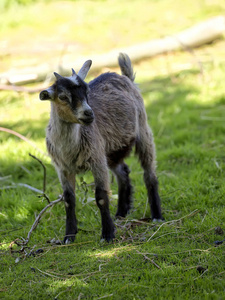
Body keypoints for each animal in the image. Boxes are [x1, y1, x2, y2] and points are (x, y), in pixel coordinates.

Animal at [38, 52, 162, 244]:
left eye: (87, 91)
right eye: (63, 97)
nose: (89, 113)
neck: (69, 148)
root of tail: (125, 77)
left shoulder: (96, 161)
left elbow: (101, 197)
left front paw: (108, 234)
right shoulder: (63, 168)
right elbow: (68, 200)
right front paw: (69, 236)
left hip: (143, 130)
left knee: (149, 173)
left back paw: (156, 215)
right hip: (111, 151)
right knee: (123, 172)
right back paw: (121, 213)